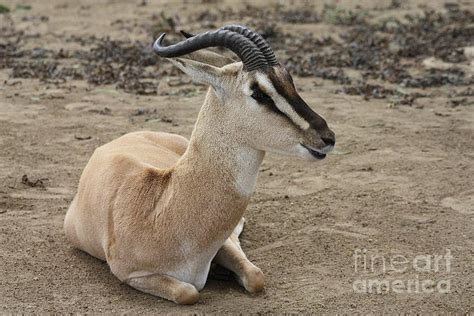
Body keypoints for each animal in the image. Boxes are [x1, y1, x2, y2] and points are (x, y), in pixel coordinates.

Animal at [64, 25, 336, 304]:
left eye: (289, 79)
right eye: (259, 93)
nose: (327, 137)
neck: (161, 209)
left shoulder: (223, 244)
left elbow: (256, 277)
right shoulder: (131, 274)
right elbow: (188, 292)